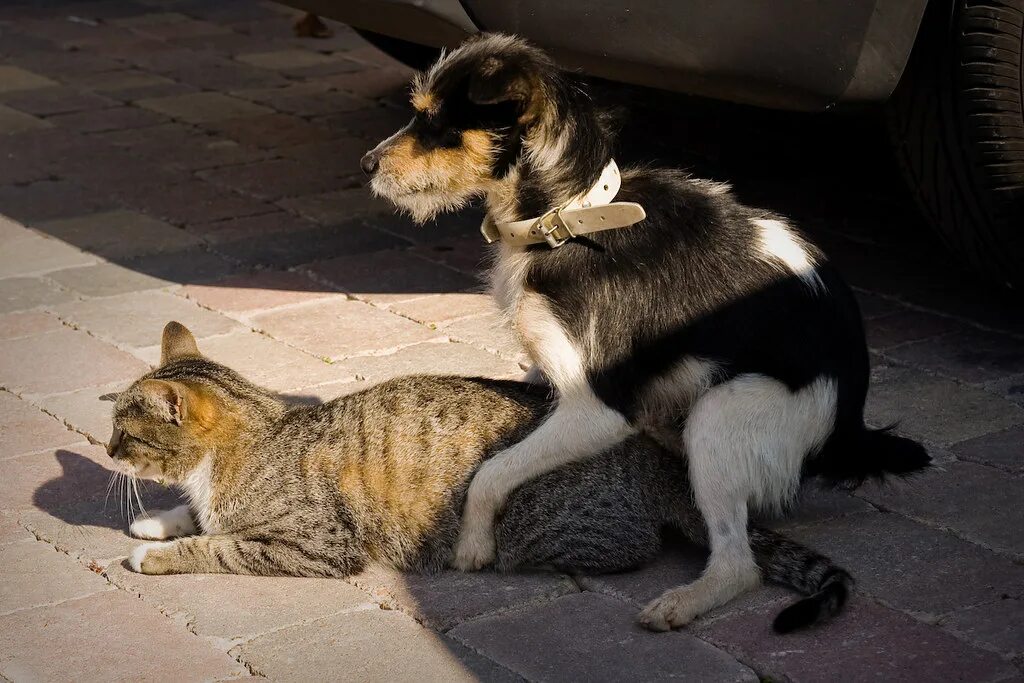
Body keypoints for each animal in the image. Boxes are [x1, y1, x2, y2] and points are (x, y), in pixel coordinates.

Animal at [108, 323, 851, 634]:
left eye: (123, 427)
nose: (107, 447)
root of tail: (652, 454)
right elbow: (200, 517)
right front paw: (158, 518)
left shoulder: (313, 545)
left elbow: (218, 544)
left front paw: (159, 551)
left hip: (542, 528)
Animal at [360, 33, 929, 630]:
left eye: (433, 122)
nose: (366, 164)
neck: (569, 217)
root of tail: (848, 428)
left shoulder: (598, 408)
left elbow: (493, 469)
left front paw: (473, 542)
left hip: (722, 415)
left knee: (739, 564)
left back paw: (682, 602)